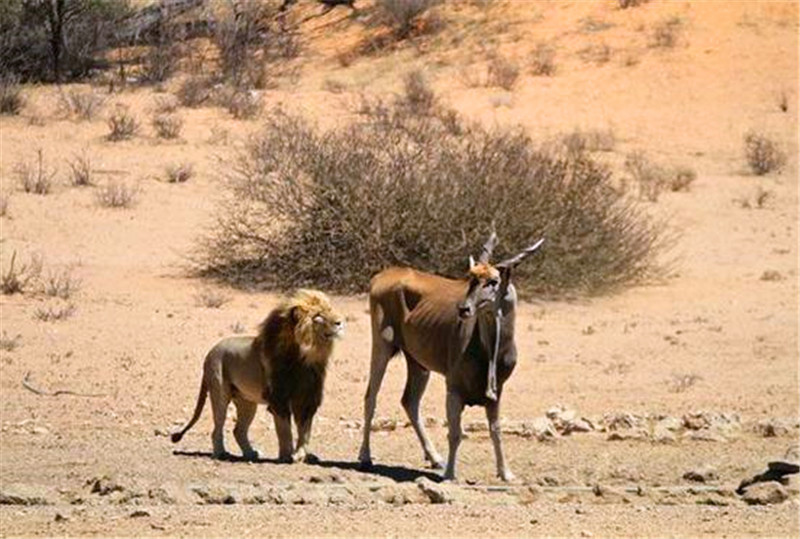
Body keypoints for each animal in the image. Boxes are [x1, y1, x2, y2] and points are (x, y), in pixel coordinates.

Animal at [169, 288, 344, 462]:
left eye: (330, 310)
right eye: (318, 316)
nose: (340, 322)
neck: (305, 357)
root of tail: (211, 352)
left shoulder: (307, 398)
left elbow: (305, 432)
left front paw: (301, 455)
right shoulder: (278, 398)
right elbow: (285, 431)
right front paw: (286, 455)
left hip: (247, 402)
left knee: (238, 430)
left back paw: (250, 453)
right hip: (220, 393)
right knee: (217, 428)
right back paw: (221, 453)